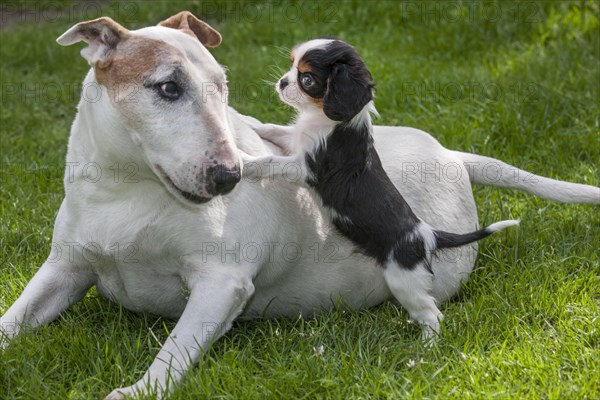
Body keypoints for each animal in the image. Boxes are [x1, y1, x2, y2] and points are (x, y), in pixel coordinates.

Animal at [241, 37, 516, 340]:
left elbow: (270, 161)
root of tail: (426, 235)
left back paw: (426, 345)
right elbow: (276, 129)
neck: (326, 120)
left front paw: (244, 162)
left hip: (403, 281)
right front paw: (252, 123)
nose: (282, 83)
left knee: (432, 315)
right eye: (292, 66)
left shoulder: (306, 167)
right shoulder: (296, 140)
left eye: (307, 79)